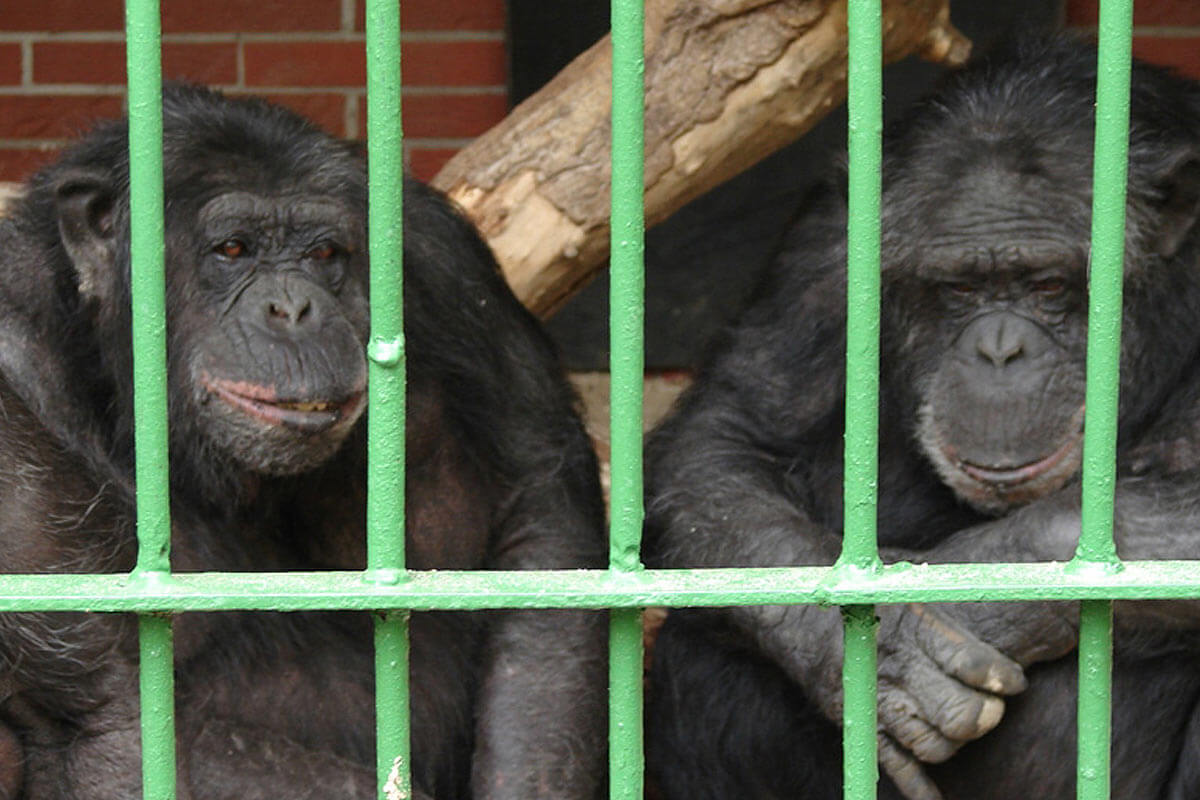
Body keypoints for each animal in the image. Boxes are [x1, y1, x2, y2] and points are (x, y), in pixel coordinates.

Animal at [0, 84, 604, 796]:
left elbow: (539, 509)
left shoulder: (443, 260)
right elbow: (110, 714)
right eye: (233, 249)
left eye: (323, 255)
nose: (292, 308)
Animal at [648, 32, 1200, 800]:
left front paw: (983, 584)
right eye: (959, 288)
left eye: (1050, 285)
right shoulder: (825, 248)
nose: (999, 350)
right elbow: (725, 441)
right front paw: (877, 643)